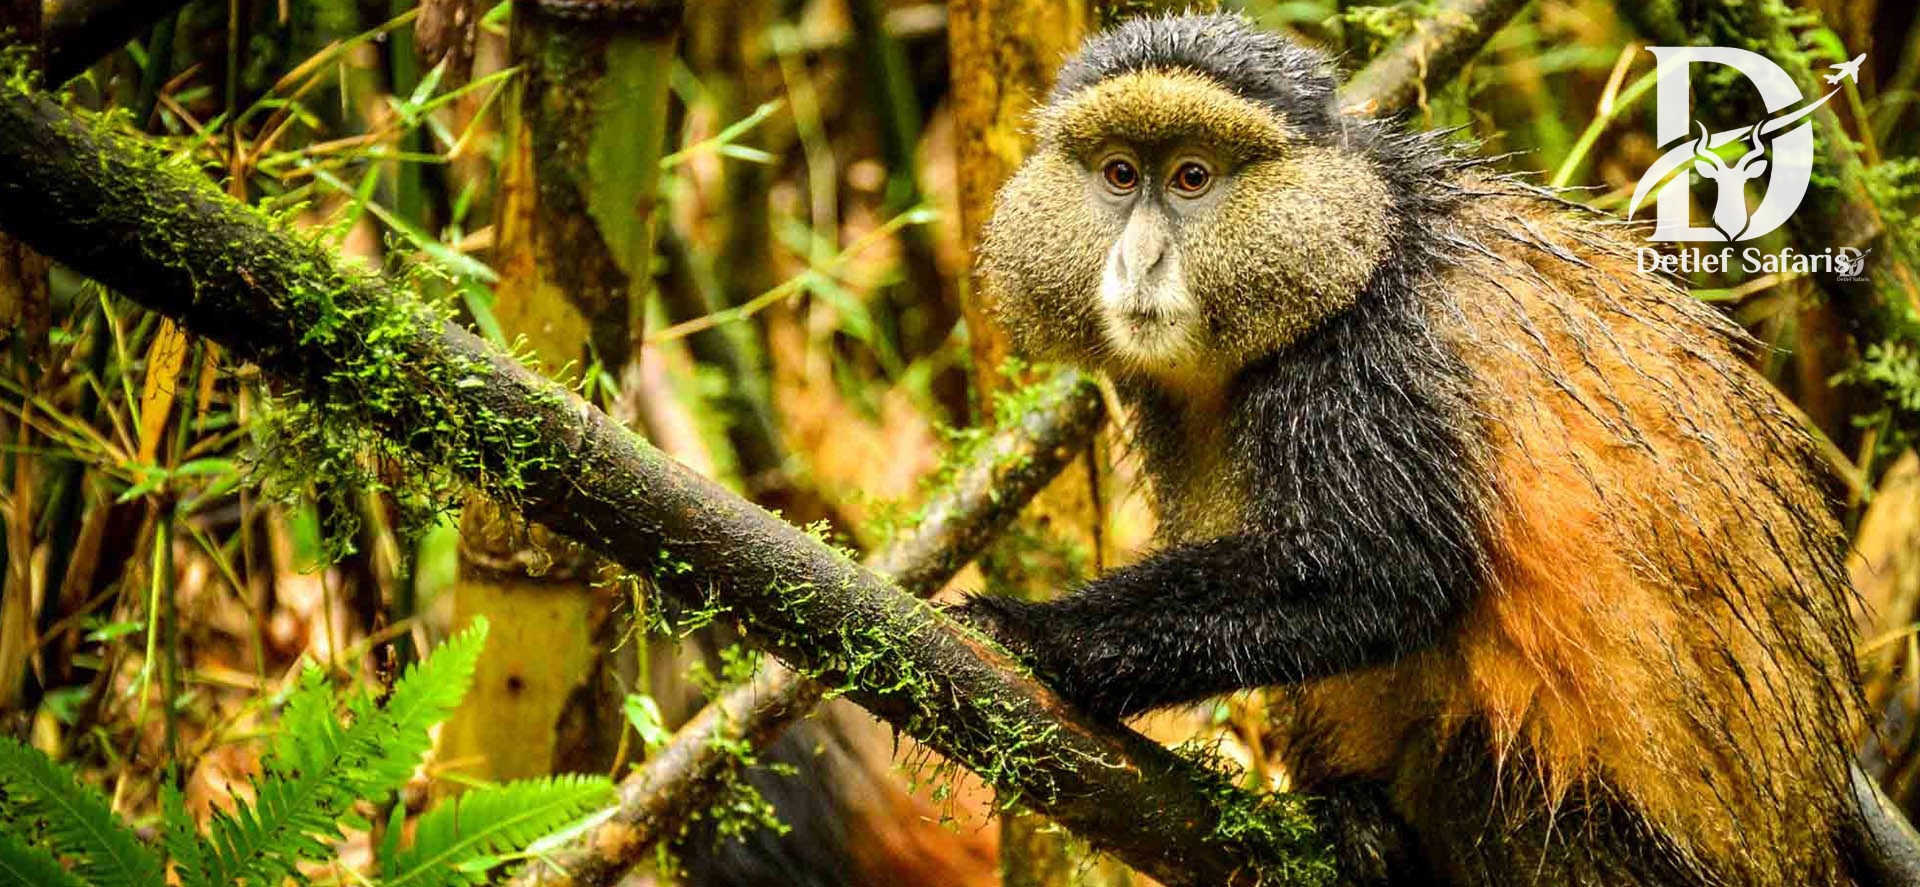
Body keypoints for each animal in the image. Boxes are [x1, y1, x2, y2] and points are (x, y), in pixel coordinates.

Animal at [951, 13, 1882, 885]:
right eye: (1119, 174)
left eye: (1192, 177)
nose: (1139, 262)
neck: (1360, 239)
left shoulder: (1371, 360)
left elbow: (1381, 574)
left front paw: (1030, 632)